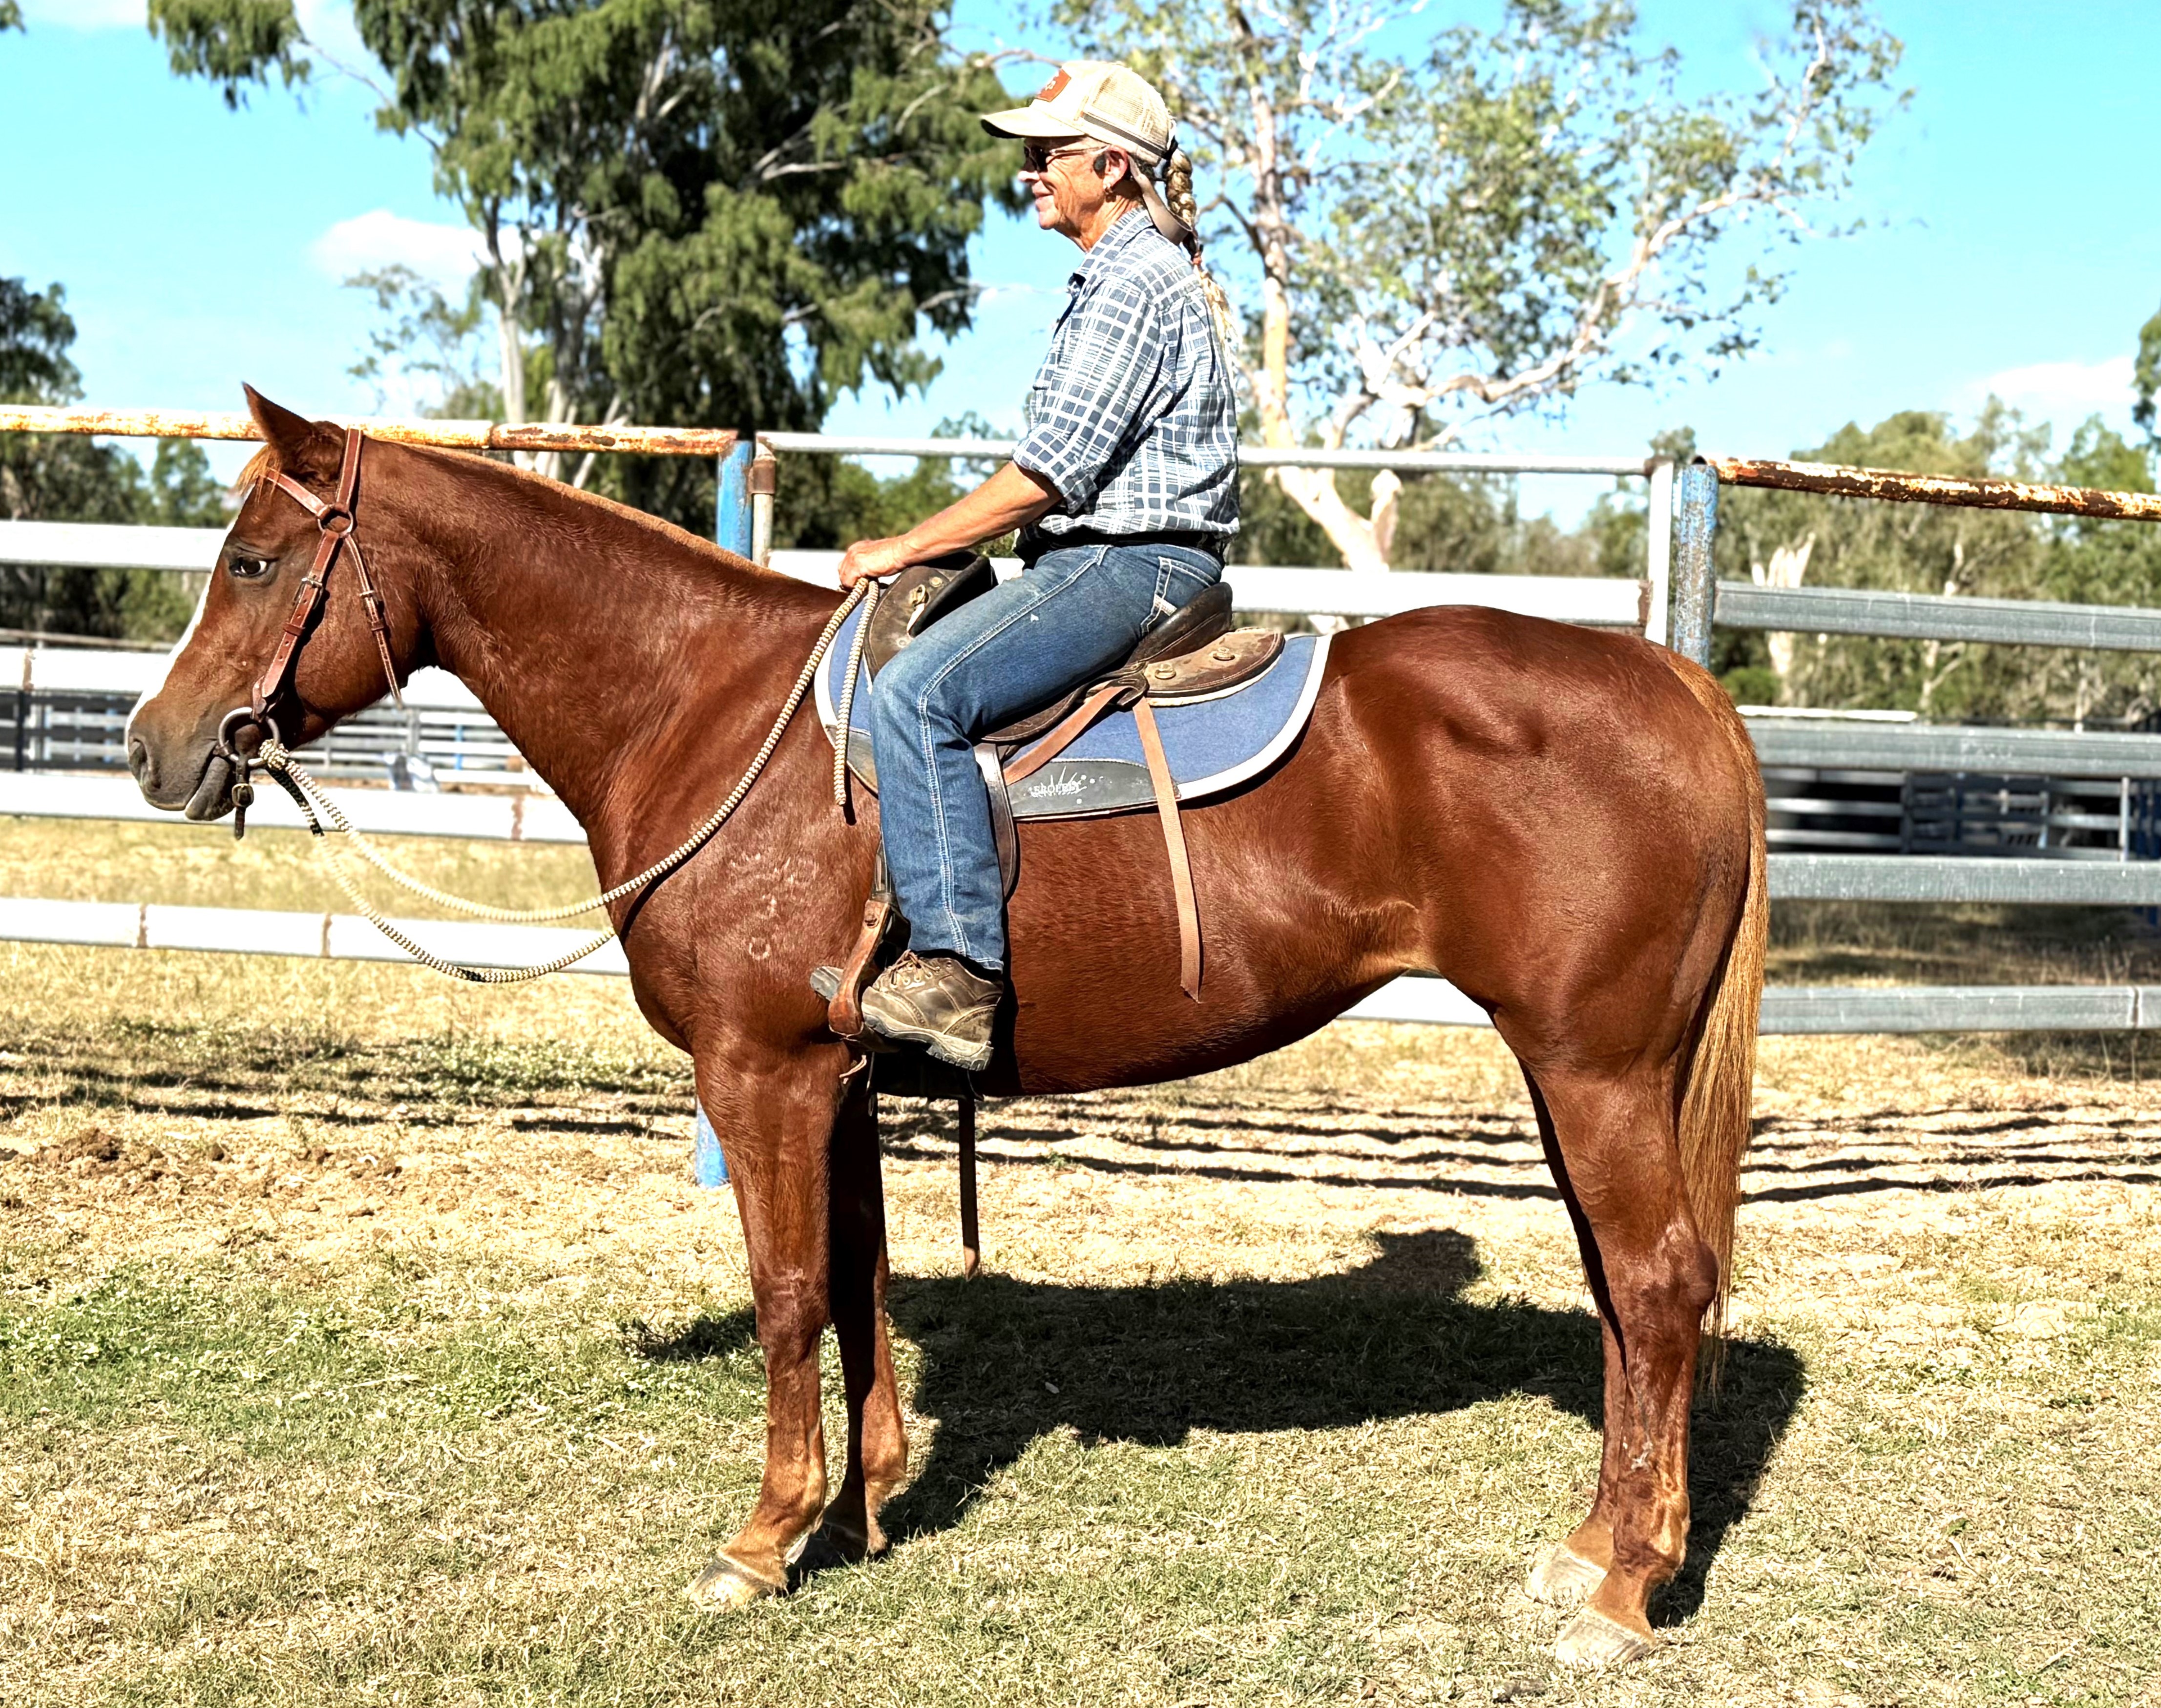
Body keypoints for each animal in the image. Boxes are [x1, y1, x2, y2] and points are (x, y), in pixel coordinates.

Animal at [126, 391, 1766, 1669]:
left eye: (253, 559)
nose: (156, 750)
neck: (708, 713)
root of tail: (1679, 683)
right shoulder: (837, 1083)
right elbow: (859, 1283)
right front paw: (865, 1505)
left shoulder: (760, 1075)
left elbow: (789, 1291)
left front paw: (763, 1537)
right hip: (1582, 1076)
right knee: (1628, 1296)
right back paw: (1592, 1547)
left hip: (1597, 1069)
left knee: (1659, 1284)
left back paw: (1624, 1591)